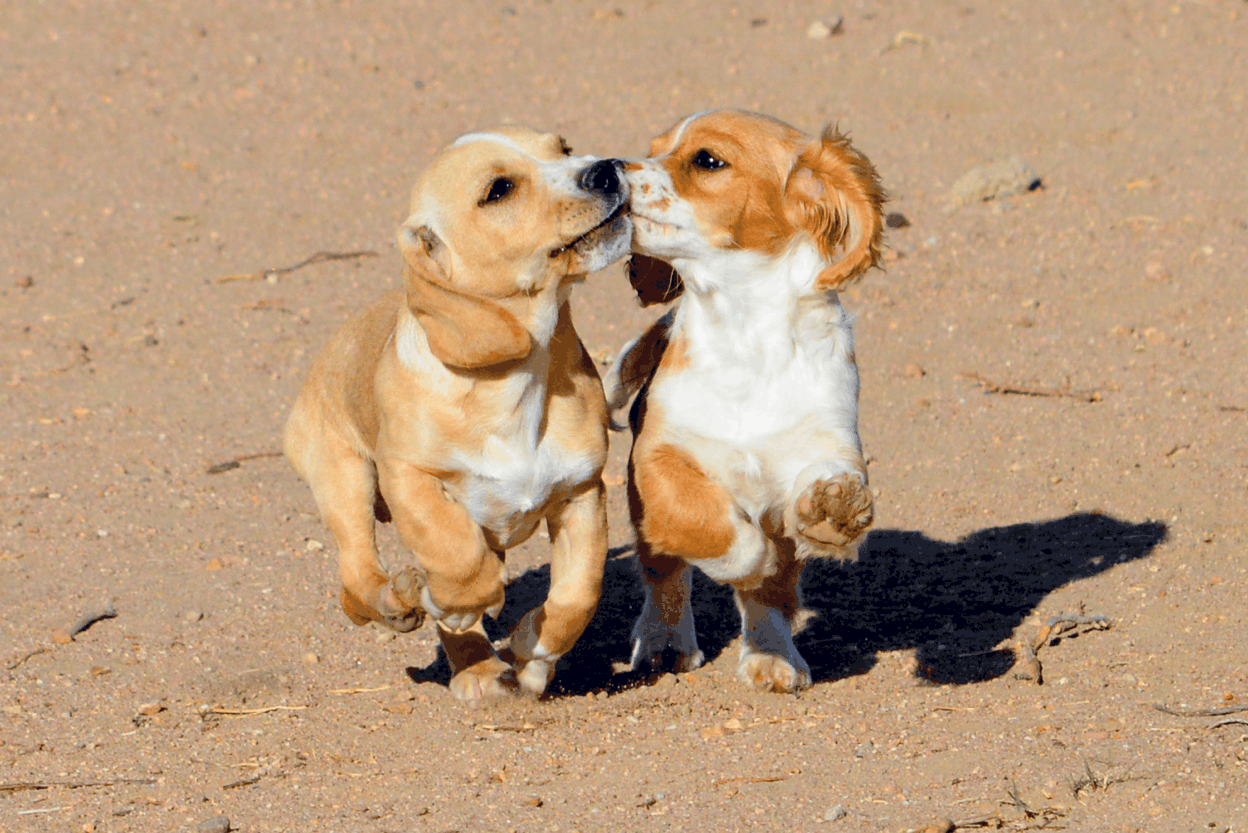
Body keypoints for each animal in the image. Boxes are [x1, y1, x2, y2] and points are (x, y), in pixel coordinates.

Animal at [285, 128, 628, 704]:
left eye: (562, 147)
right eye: (499, 190)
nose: (609, 169)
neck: (517, 379)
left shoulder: (583, 492)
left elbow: (577, 596)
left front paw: (531, 651)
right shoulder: (409, 476)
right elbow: (456, 555)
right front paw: (459, 604)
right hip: (345, 478)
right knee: (357, 579)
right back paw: (418, 616)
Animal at [606, 112, 888, 699]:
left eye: (708, 160)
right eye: (653, 148)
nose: (609, 168)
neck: (744, 335)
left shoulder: (830, 443)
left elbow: (784, 566)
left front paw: (831, 514)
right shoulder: (658, 457)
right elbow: (714, 527)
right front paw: (751, 557)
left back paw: (770, 655)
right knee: (663, 572)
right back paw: (664, 641)